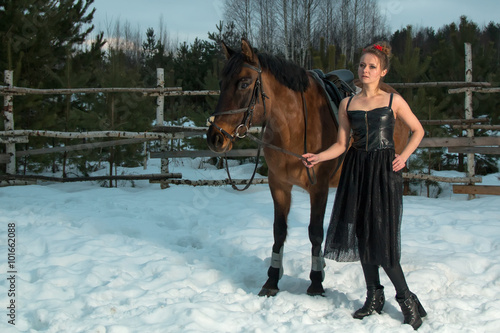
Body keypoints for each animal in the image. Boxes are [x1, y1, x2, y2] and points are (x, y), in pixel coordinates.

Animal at [205, 38, 408, 296]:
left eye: (244, 83)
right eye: (221, 83)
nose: (215, 138)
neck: (294, 124)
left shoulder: (318, 188)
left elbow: (315, 233)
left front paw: (316, 282)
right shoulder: (279, 185)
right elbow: (279, 230)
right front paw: (272, 281)